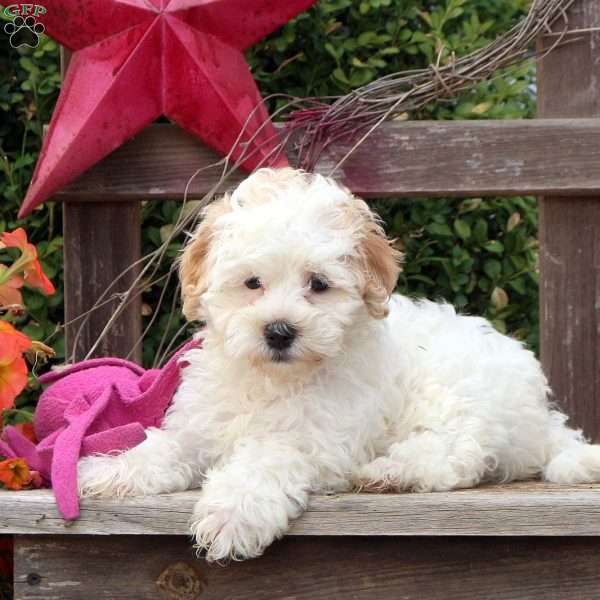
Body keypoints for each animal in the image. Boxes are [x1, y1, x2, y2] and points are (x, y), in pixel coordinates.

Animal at [77, 166, 600, 560]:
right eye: (252, 283)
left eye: (318, 284)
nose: (279, 331)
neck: (274, 379)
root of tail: (541, 416)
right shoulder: (203, 425)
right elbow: (167, 447)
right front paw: (111, 471)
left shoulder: (319, 441)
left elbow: (267, 457)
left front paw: (233, 512)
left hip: (459, 394)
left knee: (459, 455)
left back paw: (392, 472)